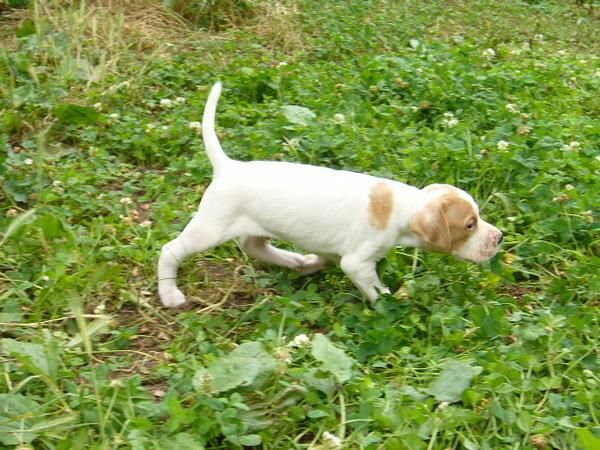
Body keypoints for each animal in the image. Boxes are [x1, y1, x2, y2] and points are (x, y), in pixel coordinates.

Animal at [156, 81, 502, 308]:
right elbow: (376, 290)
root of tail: (227, 167)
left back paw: (295, 261)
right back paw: (170, 294)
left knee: (253, 245)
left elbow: (325, 255)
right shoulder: (357, 262)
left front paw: (312, 263)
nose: (500, 237)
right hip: (209, 228)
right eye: (470, 224)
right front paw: (389, 305)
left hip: (255, 225)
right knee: (170, 250)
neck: (405, 206)